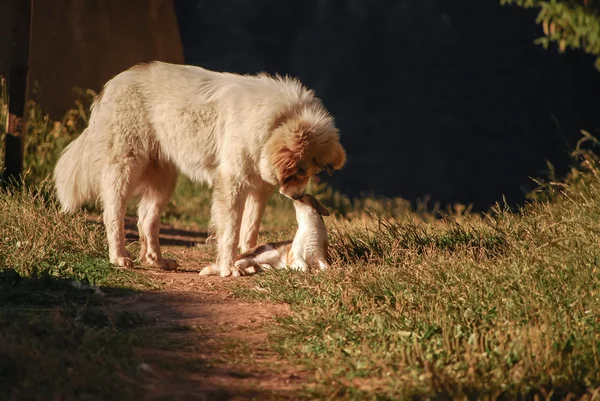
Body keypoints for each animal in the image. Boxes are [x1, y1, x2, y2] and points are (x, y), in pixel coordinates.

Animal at [56, 61, 346, 276]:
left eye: (310, 174)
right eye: (298, 172)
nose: (299, 196)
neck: (275, 122)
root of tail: (114, 82)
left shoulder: (259, 190)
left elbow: (249, 230)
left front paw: (250, 261)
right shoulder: (232, 183)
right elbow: (230, 231)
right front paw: (230, 268)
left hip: (164, 180)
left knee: (146, 219)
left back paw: (157, 261)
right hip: (125, 168)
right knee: (114, 214)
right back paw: (119, 257)